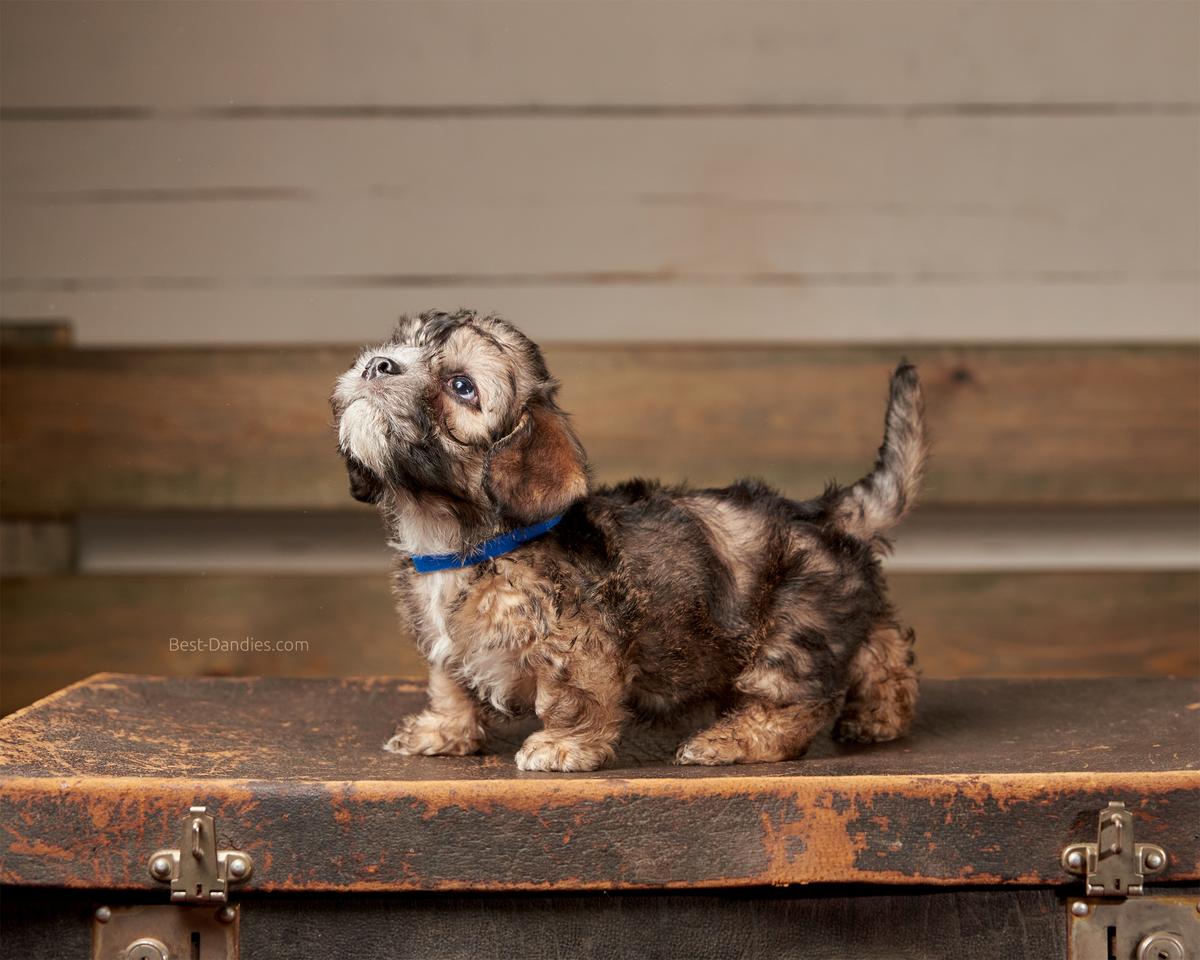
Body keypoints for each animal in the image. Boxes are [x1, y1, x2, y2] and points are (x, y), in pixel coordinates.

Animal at [331, 312, 926, 768]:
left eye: (461, 386)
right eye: (403, 344)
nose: (378, 364)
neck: (462, 538)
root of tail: (826, 513)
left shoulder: (575, 644)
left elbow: (571, 698)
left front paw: (560, 747)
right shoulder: (444, 642)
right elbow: (449, 682)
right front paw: (441, 732)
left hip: (791, 631)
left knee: (792, 704)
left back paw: (729, 740)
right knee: (883, 643)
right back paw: (881, 716)